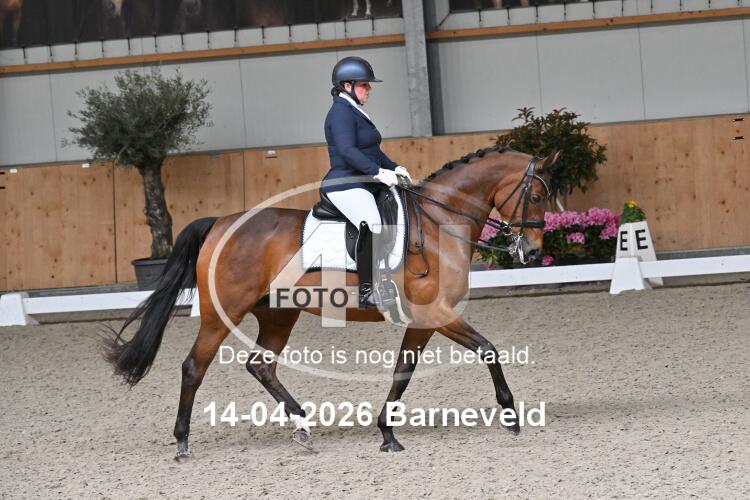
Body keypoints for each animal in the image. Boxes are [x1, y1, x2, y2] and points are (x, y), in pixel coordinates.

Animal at [104, 146, 559, 460]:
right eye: (537, 196)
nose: (533, 252)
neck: (438, 224)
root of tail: (219, 224)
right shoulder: (436, 314)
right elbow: (488, 349)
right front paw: (511, 416)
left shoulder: (424, 320)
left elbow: (403, 371)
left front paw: (387, 434)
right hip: (221, 315)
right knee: (193, 368)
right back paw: (182, 443)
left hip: (278, 314)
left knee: (261, 365)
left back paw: (303, 427)